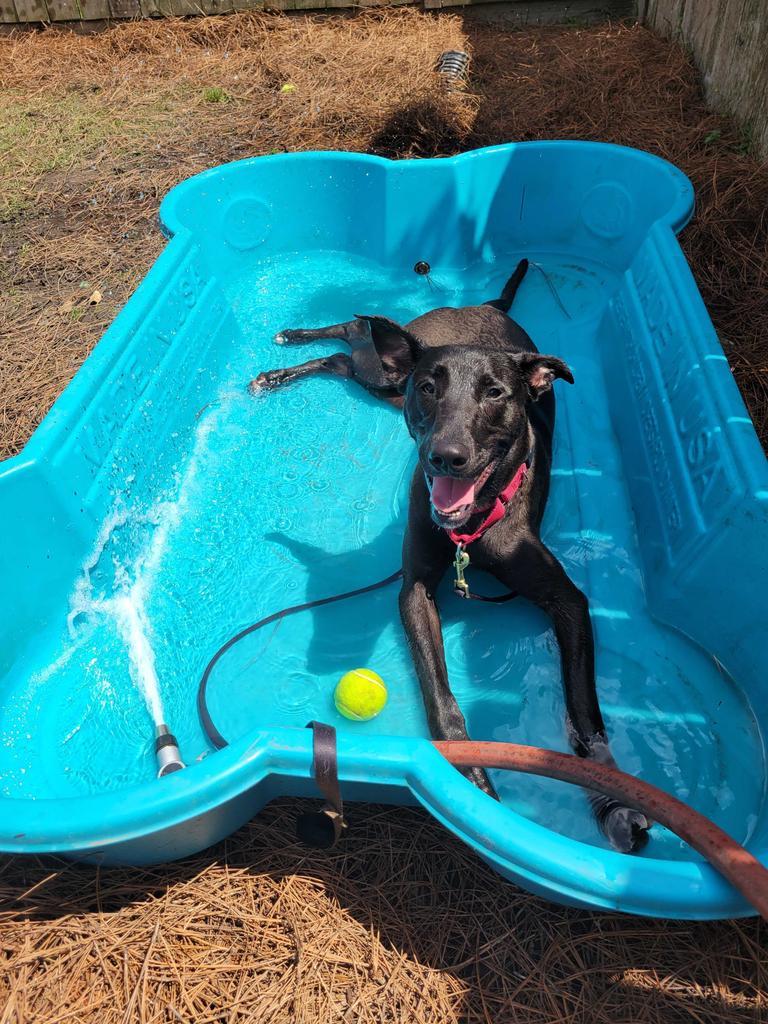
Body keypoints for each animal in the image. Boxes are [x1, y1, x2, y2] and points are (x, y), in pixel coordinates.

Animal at [250, 260, 651, 851]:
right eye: (431, 388)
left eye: (496, 393)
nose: (447, 457)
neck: (471, 532)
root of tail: (483, 305)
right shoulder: (414, 589)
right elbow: (441, 700)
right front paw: (471, 778)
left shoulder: (569, 603)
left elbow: (583, 710)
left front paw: (614, 799)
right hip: (389, 376)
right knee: (352, 335)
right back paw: (288, 351)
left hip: (385, 387)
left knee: (346, 355)